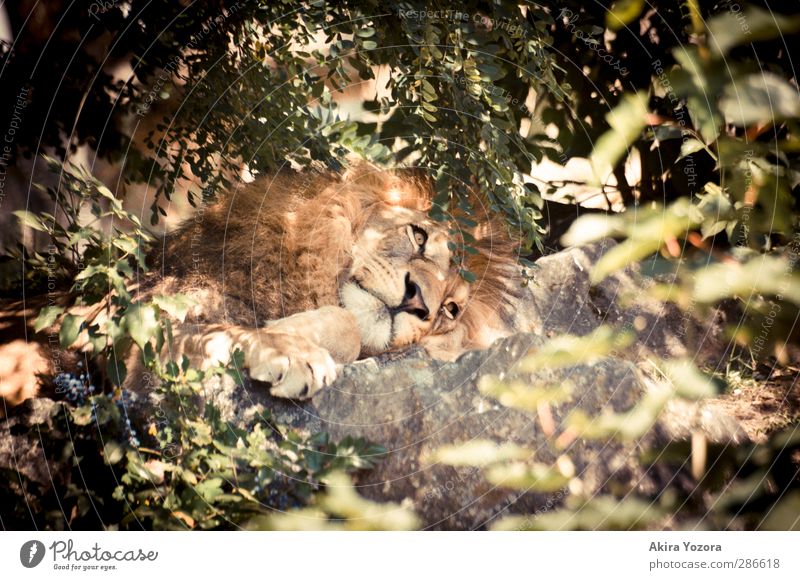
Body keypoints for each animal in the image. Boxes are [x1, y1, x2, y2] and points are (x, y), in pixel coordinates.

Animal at [144, 161, 524, 402]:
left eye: (450, 309)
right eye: (419, 238)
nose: (417, 301)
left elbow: (349, 328)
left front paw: (287, 333)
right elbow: (216, 329)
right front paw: (290, 353)